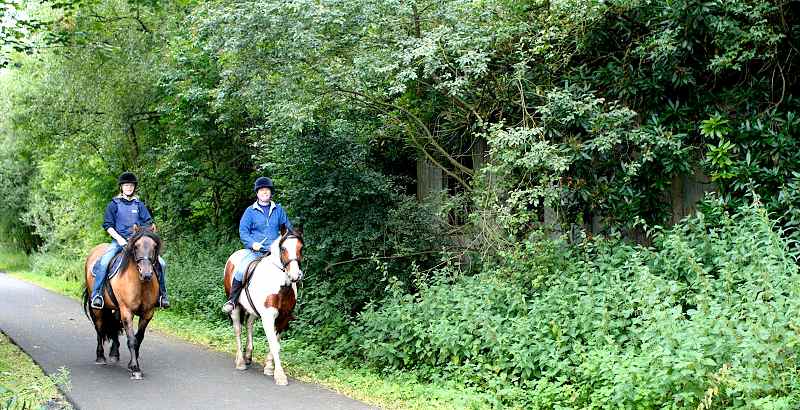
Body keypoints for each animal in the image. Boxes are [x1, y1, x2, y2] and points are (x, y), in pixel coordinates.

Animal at [82, 225, 162, 380]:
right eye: (136, 246)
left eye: (155, 246)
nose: (146, 274)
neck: (141, 284)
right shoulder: (127, 311)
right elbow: (131, 339)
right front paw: (136, 368)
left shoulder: (148, 313)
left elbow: (139, 338)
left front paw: (132, 363)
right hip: (98, 309)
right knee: (99, 328)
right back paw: (100, 357)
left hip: (117, 309)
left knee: (114, 324)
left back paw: (114, 353)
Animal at [223, 226, 304, 385]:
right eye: (283, 248)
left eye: (301, 248)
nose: (295, 275)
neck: (281, 286)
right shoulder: (268, 316)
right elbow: (274, 344)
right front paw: (280, 375)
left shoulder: (283, 318)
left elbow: (276, 343)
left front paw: (269, 367)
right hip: (235, 308)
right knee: (238, 329)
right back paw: (240, 361)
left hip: (252, 310)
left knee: (249, 324)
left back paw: (248, 355)